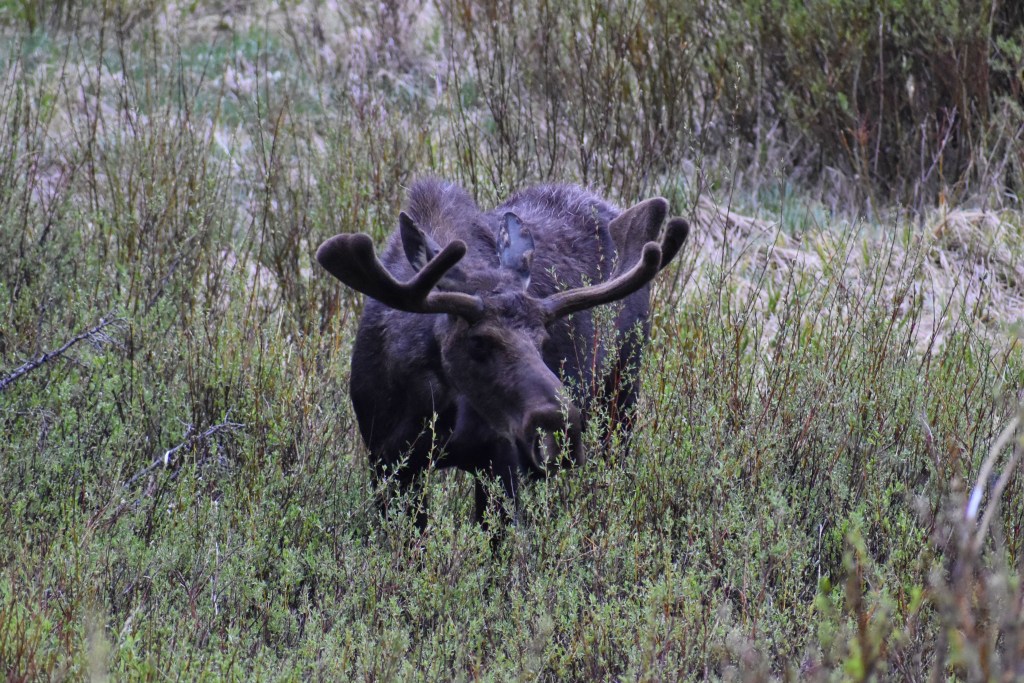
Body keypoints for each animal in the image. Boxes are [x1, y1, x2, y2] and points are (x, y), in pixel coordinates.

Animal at [316, 179, 689, 527]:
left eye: (542, 339)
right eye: (478, 342)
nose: (560, 424)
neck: (428, 403)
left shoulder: (501, 463)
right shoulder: (387, 464)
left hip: (622, 393)